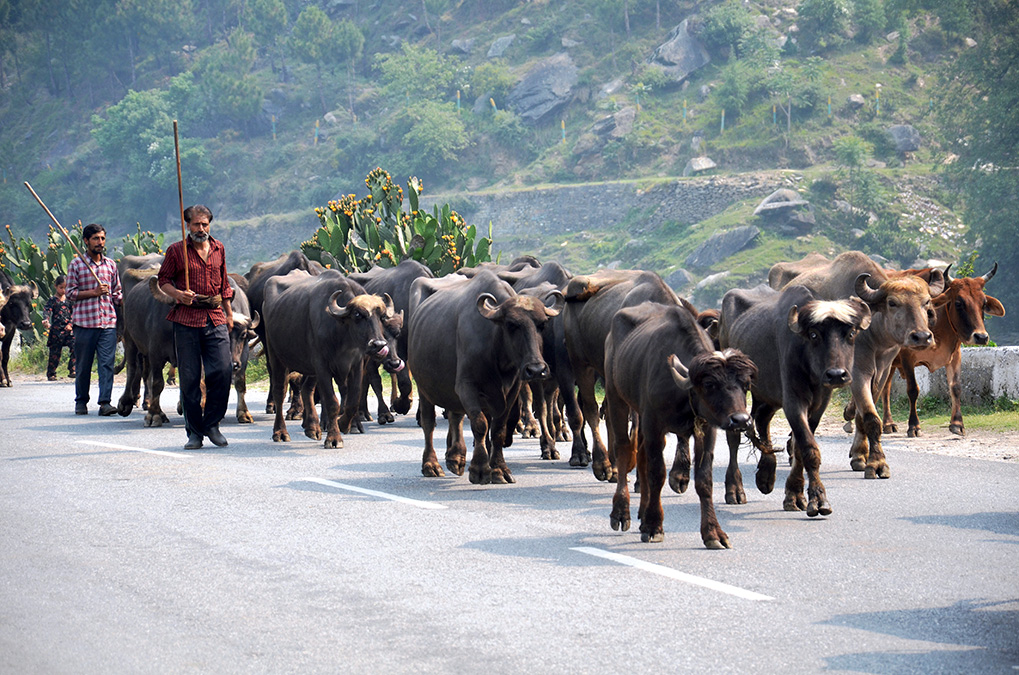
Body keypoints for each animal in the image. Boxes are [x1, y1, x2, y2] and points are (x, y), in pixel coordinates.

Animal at [407, 269, 566, 487]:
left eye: (542, 324)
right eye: (511, 325)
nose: (536, 370)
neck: (496, 351)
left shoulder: (512, 390)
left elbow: (498, 429)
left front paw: (499, 469)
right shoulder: (467, 387)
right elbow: (480, 424)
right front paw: (480, 470)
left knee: (455, 416)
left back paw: (456, 458)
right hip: (424, 387)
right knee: (428, 422)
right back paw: (431, 465)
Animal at [603, 303, 758, 546]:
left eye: (745, 384)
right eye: (710, 384)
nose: (741, 419)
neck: (684, 397)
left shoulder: (707, 430)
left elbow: (704, 480)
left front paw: (713, 532)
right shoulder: (654, 425)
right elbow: (657, 473)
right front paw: (654, 526)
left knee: (642, 456)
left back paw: (643, 513)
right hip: (616, 396)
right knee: (624, 449)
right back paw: (621, 513)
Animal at [721, 283, 872, 515]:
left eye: (851, 333)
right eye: (814, 334)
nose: (836, 375)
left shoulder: (819, 405)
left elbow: (799, 447)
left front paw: (794, 494)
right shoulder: (793, 402)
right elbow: (808, 448)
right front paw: (818, 499)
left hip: (768, 394)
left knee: (762, 420)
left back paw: (766, 475)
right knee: (734, 438)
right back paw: (735, 490)